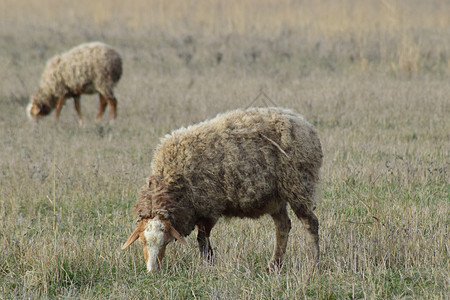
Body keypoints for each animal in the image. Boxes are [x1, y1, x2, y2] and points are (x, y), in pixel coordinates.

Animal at [121, 106, 322, 272]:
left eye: (166, 241)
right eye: (142, 242)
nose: (152, 271)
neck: (172, 182)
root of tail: (305, 125)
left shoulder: (210, 207)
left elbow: (202, 239)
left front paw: (207, 264)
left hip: (299, 185)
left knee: (310, 224)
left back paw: (313, 263)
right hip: (276, 196)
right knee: (282, 226)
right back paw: (273, 266)